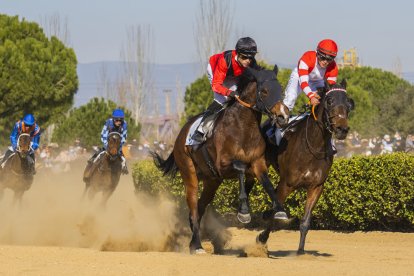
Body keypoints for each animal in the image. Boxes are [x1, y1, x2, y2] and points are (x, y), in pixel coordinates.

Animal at [153, 66, 292, 253]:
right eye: (264, 91)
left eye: (281, 90)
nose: (283, 116)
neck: (243, 127)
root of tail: (180, 134)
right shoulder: (222, 164)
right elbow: (240, 167)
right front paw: (244, 212)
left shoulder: (257, 163)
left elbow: (266, 182)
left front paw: (279, 210)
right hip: (189, 173)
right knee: (194, 207)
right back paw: (197, 245)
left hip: (212, 181)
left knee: (200, 208)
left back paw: (195, 240)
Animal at [252, 80, 356, 254]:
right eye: (329, 101)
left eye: (348, 103)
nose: (342, 129)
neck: (313, 146)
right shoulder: (286, 184)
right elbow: (275, 213)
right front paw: (261, 238)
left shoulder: (316, 186)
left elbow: (305, 221)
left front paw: (300, 251)